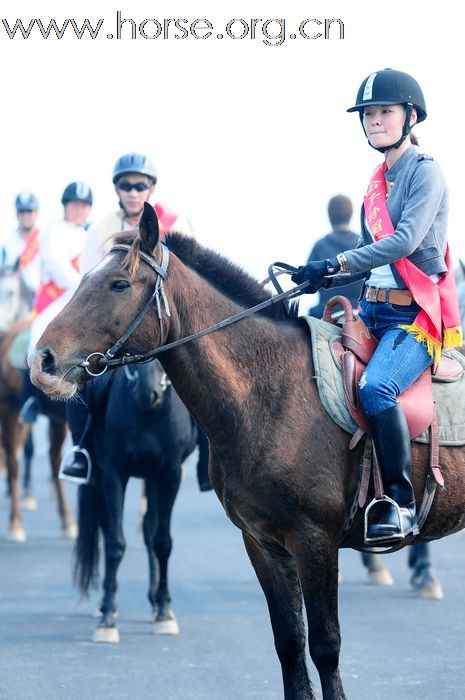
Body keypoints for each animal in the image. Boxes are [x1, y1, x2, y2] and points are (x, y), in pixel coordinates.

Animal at [72, 358, 198, 644]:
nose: (146, 394)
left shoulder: (169, 475)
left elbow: (162, 542)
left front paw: (163, 611)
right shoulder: (113, 472)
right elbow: (114, 544)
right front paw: (107, 617)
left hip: (152, 479)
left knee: (150, 529)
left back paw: (156, 603)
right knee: (108, 528)